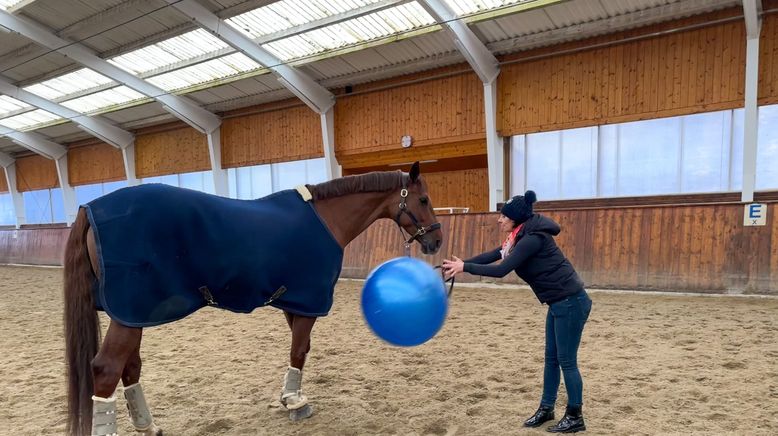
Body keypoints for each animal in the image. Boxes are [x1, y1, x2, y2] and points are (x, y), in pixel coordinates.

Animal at [65, 163, 442, 436]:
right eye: (424, 200)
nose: (436, 241)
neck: (326, 219)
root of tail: (90, 207)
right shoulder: (310, 302)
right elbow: (299, 350)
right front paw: (296, 403)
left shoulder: (294, 302)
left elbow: (298, 350)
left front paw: (289, 397)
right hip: (131, 312)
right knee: (107, 369)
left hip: (132, 313)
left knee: (129, 366)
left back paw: (148, 425)